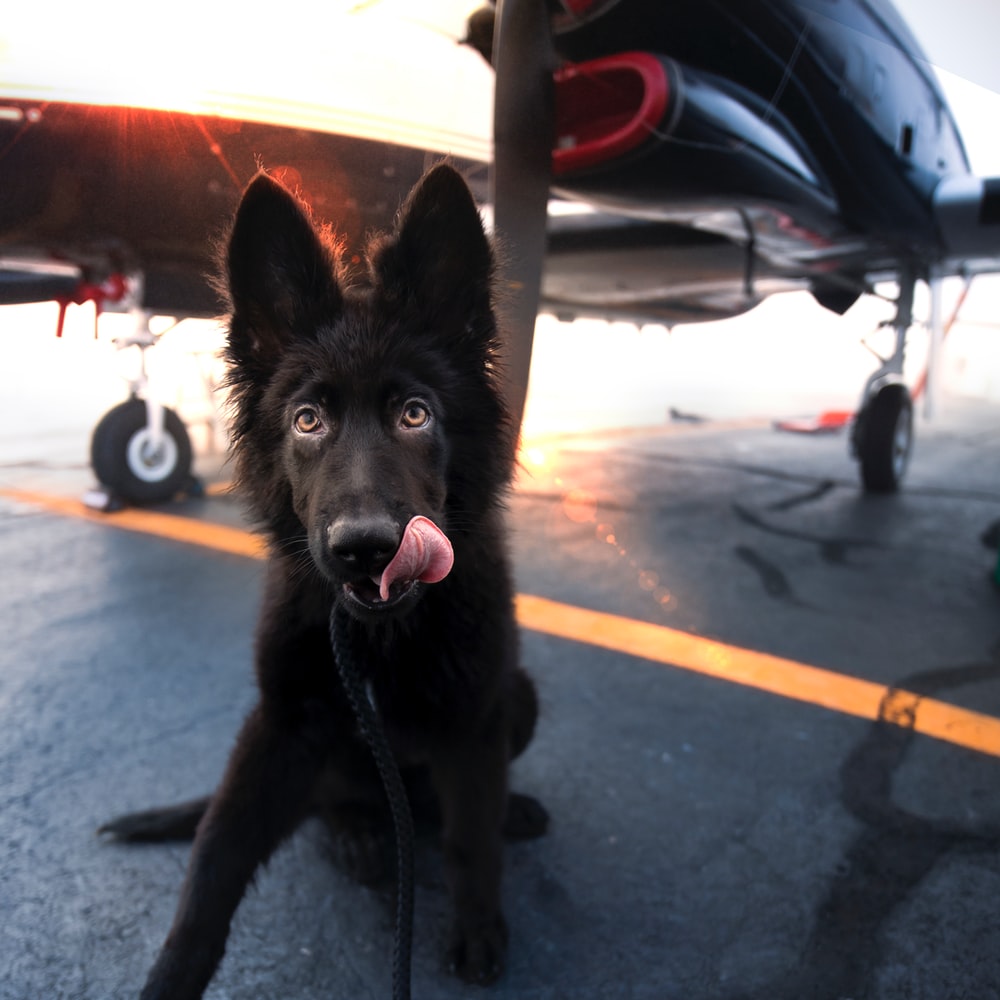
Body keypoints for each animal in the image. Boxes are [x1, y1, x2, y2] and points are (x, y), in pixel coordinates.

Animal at [101, 166, 548, 1000]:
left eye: (415, 414)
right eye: (307, 420)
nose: (367, 550)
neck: (377, 638)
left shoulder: (474, 716)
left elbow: (471, 837)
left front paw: (477, 925)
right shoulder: (282, 723)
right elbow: (214, 862)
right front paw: (169, 978)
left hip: (520, 695)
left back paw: (509, 812)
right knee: (330, 803)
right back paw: (359, 835)